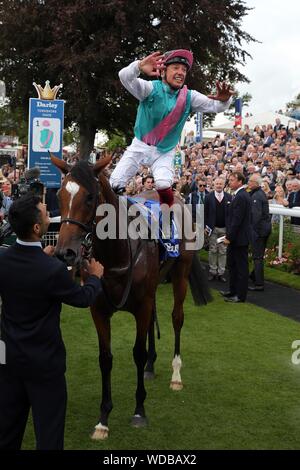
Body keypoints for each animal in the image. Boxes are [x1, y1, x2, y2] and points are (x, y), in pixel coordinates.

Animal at [50, 155, 210, 440]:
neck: (118, 252)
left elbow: (137, 352)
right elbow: (105, 358)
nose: (65, 253)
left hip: (180, 273)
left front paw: (139, 411)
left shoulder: (141, 306)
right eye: (59, 195)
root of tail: (180, 200)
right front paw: (103, 419)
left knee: (176, 318)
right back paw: (150, 367)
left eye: (90, 197)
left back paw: (176, 374)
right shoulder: (98, 309)